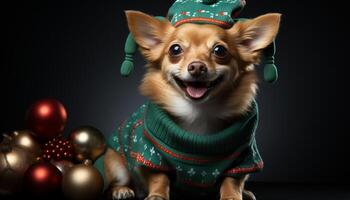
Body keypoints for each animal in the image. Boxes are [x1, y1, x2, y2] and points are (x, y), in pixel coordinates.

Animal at [99, 10, 282, 200]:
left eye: (220, 50)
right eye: (175, 50)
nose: (197, 67)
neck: (198, 112)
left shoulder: (243, 159)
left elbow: (232, 180)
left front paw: (232, 195)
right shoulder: (151, 154)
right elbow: (159, 177)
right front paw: (157, 195)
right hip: (115, 163)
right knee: (119, 180)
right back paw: (122, 190)